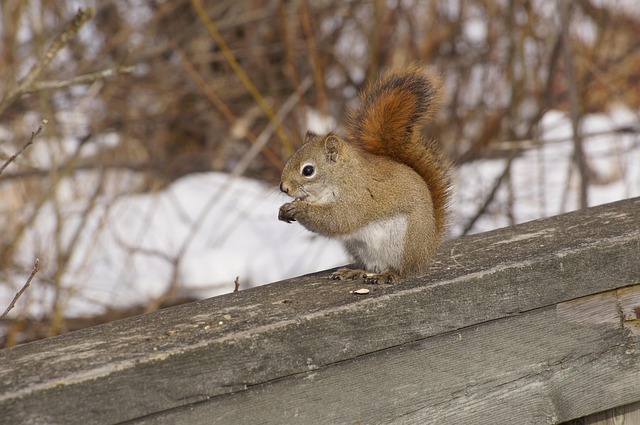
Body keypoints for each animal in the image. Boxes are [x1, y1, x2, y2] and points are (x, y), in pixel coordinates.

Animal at [278, 65, 451, 284]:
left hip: (402, 245)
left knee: (402, 269)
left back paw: (389, 274)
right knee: (371, 266)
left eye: (308, 170)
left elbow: (338, 220)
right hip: (359, 249)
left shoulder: (356, 199)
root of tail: (427, 248)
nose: (283, 188)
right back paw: (355, 272)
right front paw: (283, 210)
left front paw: (299, 208)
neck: (342, 177)